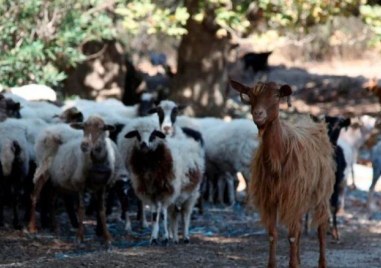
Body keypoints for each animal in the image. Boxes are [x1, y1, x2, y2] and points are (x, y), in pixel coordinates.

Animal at [229, 81, 332, 268]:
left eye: (277, 96)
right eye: (250, 95)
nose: (258, 114)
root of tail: (313, 123)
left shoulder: (292, 196)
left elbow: (291, 236)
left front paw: (293, 264)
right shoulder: (270, 198)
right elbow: (273, 234)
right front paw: (274, 264)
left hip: (322, 190)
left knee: (321, 225)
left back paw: (322, 263)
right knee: (299, 226)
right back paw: (299, 258)